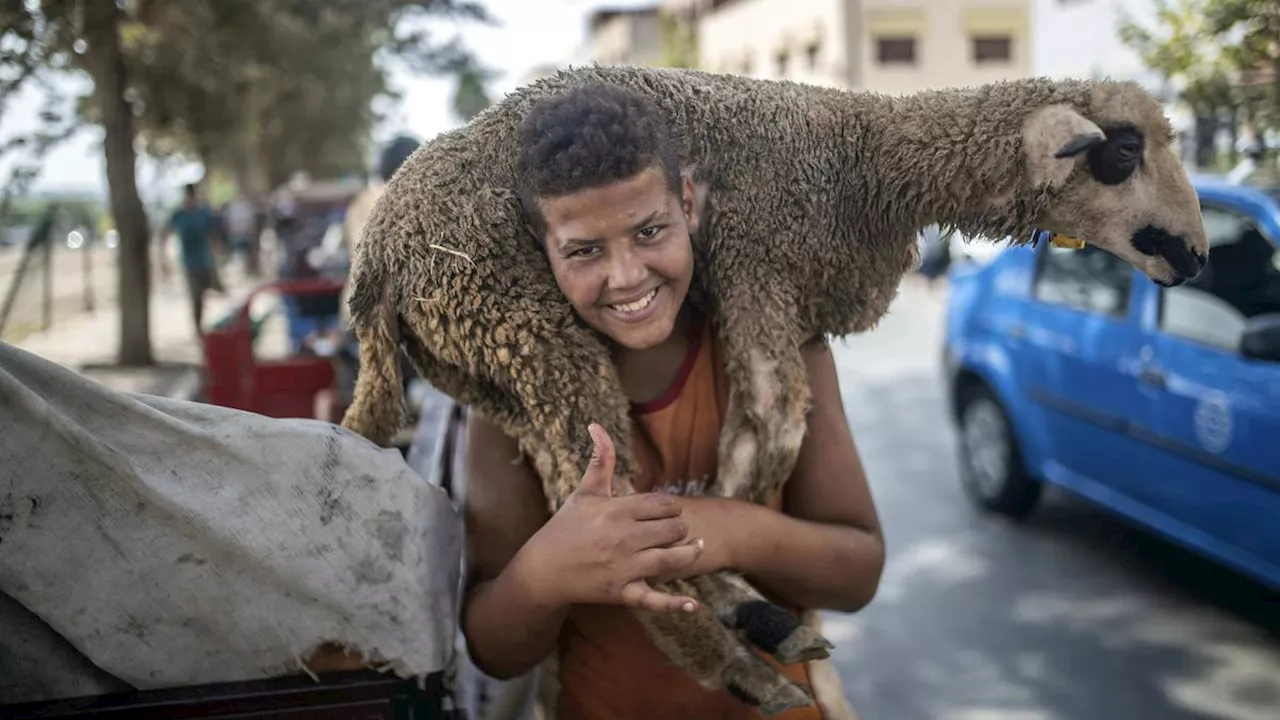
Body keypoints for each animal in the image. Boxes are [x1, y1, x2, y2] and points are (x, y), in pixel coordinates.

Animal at [335, 64, 1203, 712]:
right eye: (1123, 151)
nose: (1195, 257)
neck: (864, 160)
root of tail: (373, 264)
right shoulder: (757, 259)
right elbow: (772, 425)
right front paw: (724, 529)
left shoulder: (788, 300)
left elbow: (764, 440)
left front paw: (728, 537)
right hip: (518, 316)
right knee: (599, 498)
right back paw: (743, 657)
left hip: (484, 363)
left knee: (571, 486)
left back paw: (750, 612)